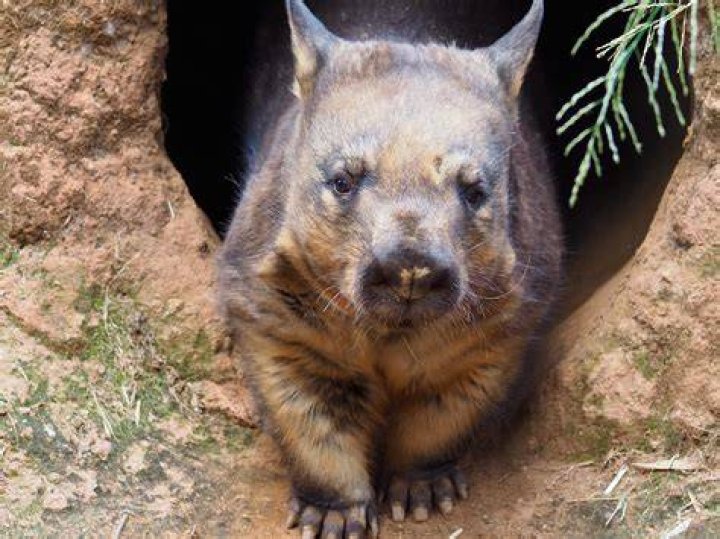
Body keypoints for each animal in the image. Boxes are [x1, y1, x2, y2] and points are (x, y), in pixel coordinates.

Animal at [218, 0, 562, 536]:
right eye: (342, 182)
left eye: (474, 192)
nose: (410, 269)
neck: (388, 330)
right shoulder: (270, 303)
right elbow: (306, 410)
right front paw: (332, 515)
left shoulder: (503, 322)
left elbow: (447, 407)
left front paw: (422, 494)